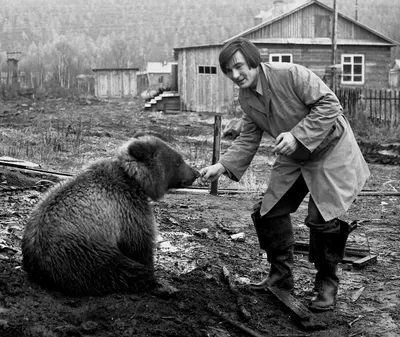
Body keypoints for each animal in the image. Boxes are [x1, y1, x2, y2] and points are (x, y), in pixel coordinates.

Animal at [21, 134, 199, 294]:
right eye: (178, 160)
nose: (196, 173)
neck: (134, 180)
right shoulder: (128, 210)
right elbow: (140, 244)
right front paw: (152, 269)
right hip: (83, 250)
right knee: (118, 270)